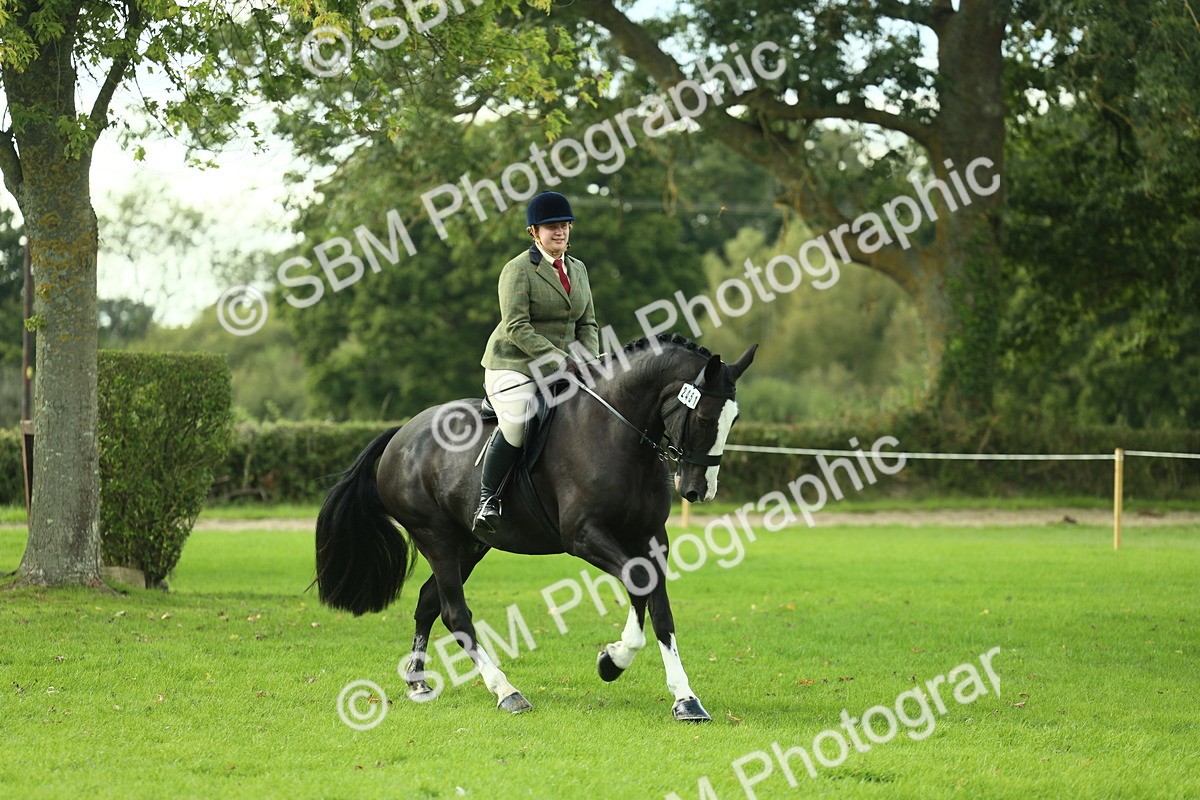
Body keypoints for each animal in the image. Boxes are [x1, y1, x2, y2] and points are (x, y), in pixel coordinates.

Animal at [314, 333, 757, 721]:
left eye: (733, 419)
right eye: (704, 418)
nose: (700, 490)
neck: (617, 431)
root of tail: (400, 434)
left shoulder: (650, 538)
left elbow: (657, 606)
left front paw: (683, 698)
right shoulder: (583, 535)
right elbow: (637, 583)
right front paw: (613, 660)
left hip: (469, 545)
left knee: (428, 603)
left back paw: (418, 681)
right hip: (436, 538)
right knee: (455, 614)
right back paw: (506, 692)